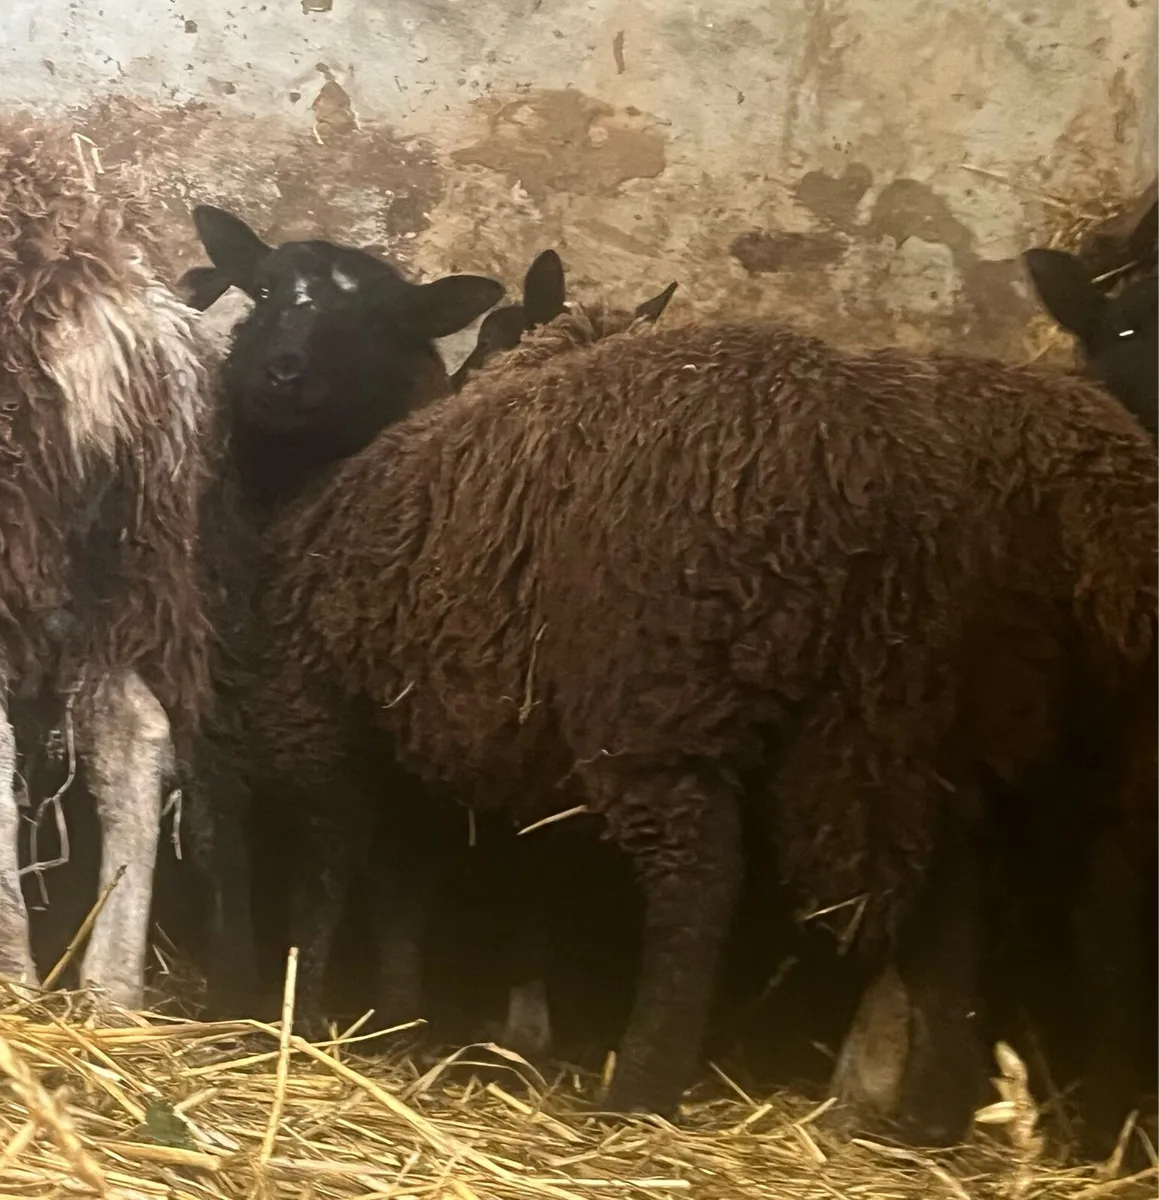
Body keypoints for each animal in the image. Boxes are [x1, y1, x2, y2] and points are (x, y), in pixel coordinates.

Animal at [240, 307, 1156, 1149]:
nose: (279, 377)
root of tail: (885, 477)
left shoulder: (321, 721)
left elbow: (328, 868)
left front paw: (307, 1014)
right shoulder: (416, 753)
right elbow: (398, 880)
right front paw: (394, 1023)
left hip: (658, 692)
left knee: (698, 876)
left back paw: (640, 1090)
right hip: (910, 713)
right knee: (950, 895)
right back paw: (932, 1113)